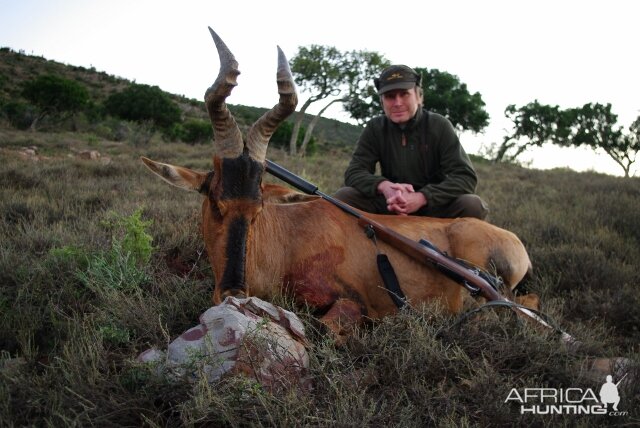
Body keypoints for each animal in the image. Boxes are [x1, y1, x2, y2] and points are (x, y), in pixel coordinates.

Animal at [142, 28, 532, 342]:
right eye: (216, 202)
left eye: (258, 208)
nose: (232, 292)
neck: (291, 235)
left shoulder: (354, 299)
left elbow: (325, 328)